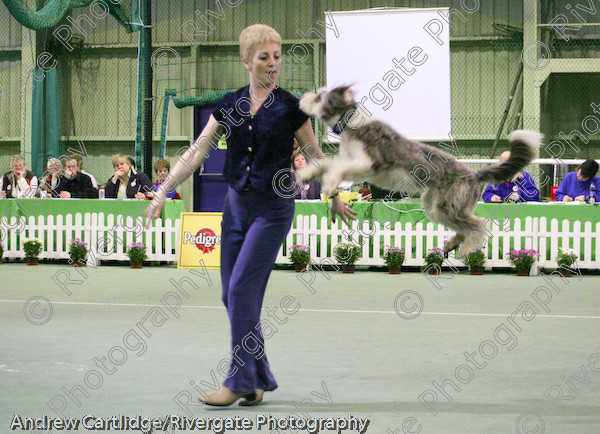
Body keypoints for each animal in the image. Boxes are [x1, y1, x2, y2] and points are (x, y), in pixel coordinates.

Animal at [298, 86, 540, 260]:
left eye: (319, 97)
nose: (303, 98)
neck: (350, 123)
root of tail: (473, 175)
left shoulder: (370, 163)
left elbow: (338, 169)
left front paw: (329, 185)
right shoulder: (352, 162)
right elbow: (328, 166)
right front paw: (306, 175)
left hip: (449, 205)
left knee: (478, 224)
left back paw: (466, 249)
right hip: (435, 207)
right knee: (463, 227)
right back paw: (451, 244)